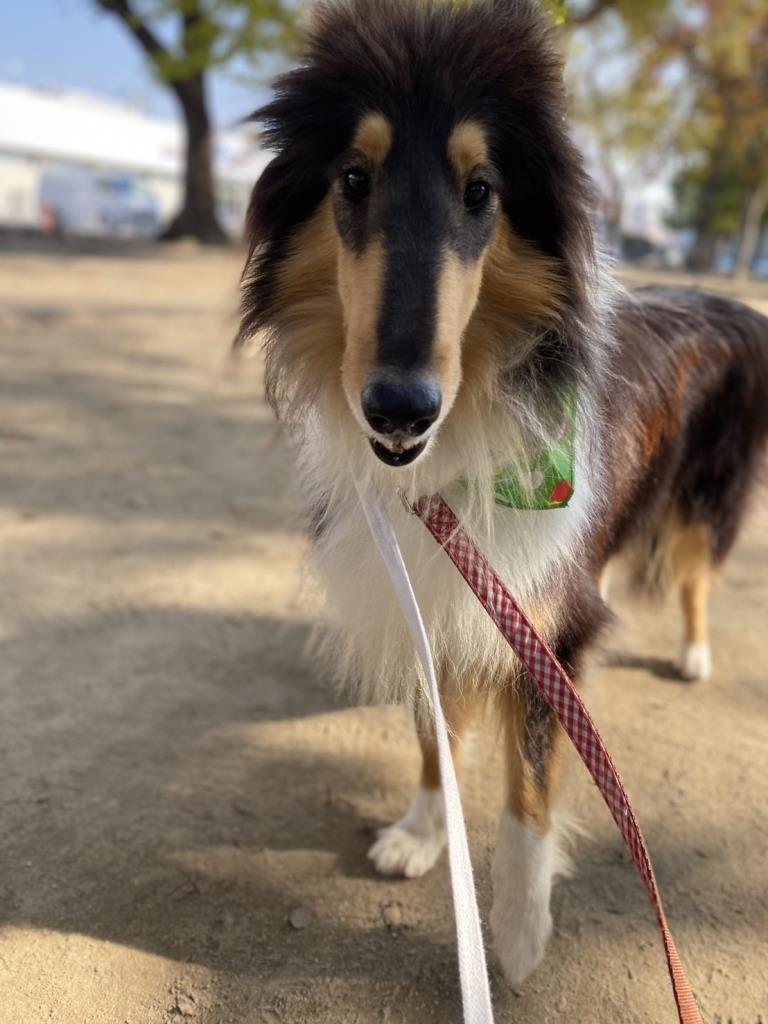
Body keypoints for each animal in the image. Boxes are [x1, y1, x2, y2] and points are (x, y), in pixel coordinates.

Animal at [236, 0, 768, 989]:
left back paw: (694, 653)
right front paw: (420, 833)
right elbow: (434, 734)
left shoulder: (543, 623)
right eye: (353, 178)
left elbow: (531, 782)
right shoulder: (434, 586)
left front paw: (519, 932)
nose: (399, 407)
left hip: (701, 499)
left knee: (693, 576)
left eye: (481, 190)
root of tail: (729, 301)